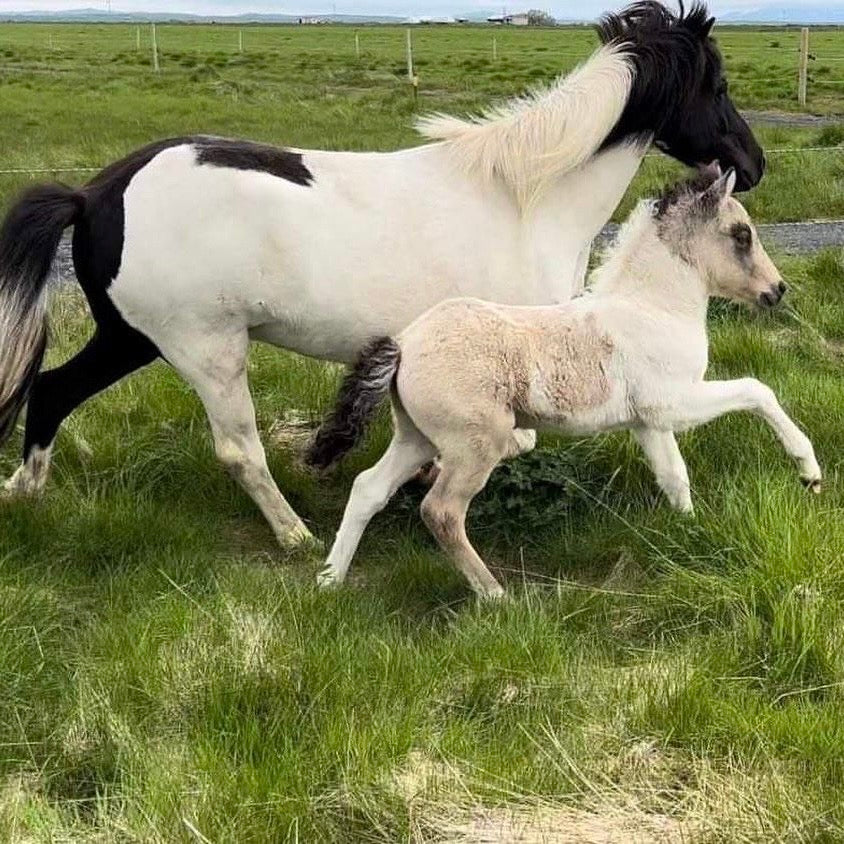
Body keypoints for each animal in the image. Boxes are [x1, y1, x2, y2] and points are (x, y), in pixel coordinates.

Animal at [0, 2, 764, 550]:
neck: (525, 200)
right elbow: (512, 441)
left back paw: (25, 493)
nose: (753, 166)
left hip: (130, 337)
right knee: (238, 450)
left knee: (52, 389)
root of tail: (96, 192)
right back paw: (297, 537)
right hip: (205, 349)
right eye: (719, 84)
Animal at [311, 166, 821, 598]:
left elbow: (674, 476)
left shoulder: (648, 422)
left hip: (417, 437)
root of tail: (405, 343)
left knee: (368, 489)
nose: (777, 291)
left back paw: (329, 580)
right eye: (741, 234)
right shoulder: (674, 403)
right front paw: (809, 473)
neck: (652, 309)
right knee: (441, 512)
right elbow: (757, 390)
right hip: (473, 445)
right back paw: (495, 595)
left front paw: (690, 529)